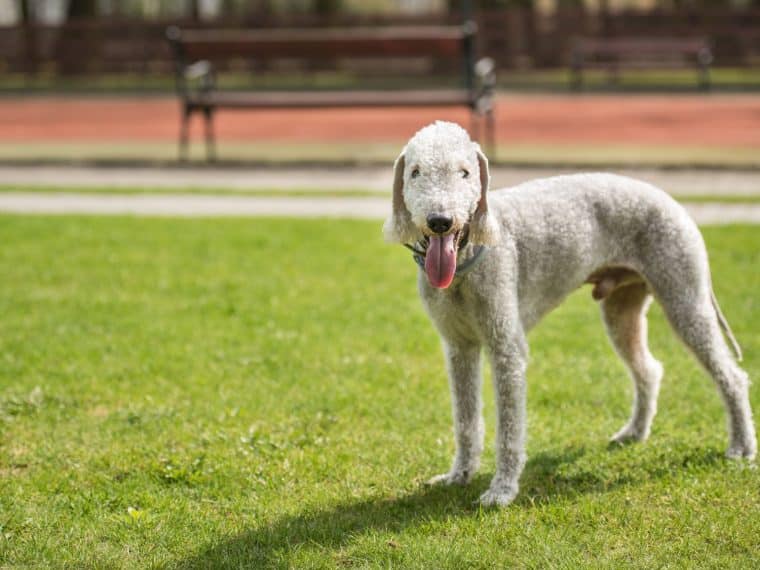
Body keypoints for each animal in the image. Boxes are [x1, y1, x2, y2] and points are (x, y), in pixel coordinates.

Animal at [386, 121, 756, 506]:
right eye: (415, 172)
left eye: (465, 173)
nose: (440, 221)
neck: (466, 257)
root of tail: (671, 201)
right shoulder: (459, 347)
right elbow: (466, 420)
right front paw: (459, 475)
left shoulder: (506, 348)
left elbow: (510, 427)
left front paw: (502, 490)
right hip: (622, 310)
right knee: (649, 370)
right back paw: (634, 432)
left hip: (685, 295)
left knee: (731, 376)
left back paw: (741, 447)